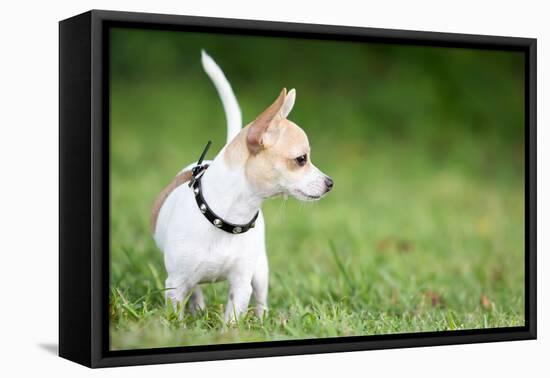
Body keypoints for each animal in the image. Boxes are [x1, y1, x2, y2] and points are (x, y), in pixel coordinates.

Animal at [150, 51, 336, 322]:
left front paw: (230, 329)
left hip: (260, 271)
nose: (330, 183)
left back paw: (261, 320)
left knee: (260, 298)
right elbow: (177, 315)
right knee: (196, 291)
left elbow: (232, 319)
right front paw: (179, 328)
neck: (225, 218)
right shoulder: (175, 285)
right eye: (301, 159)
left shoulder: (240, 285)